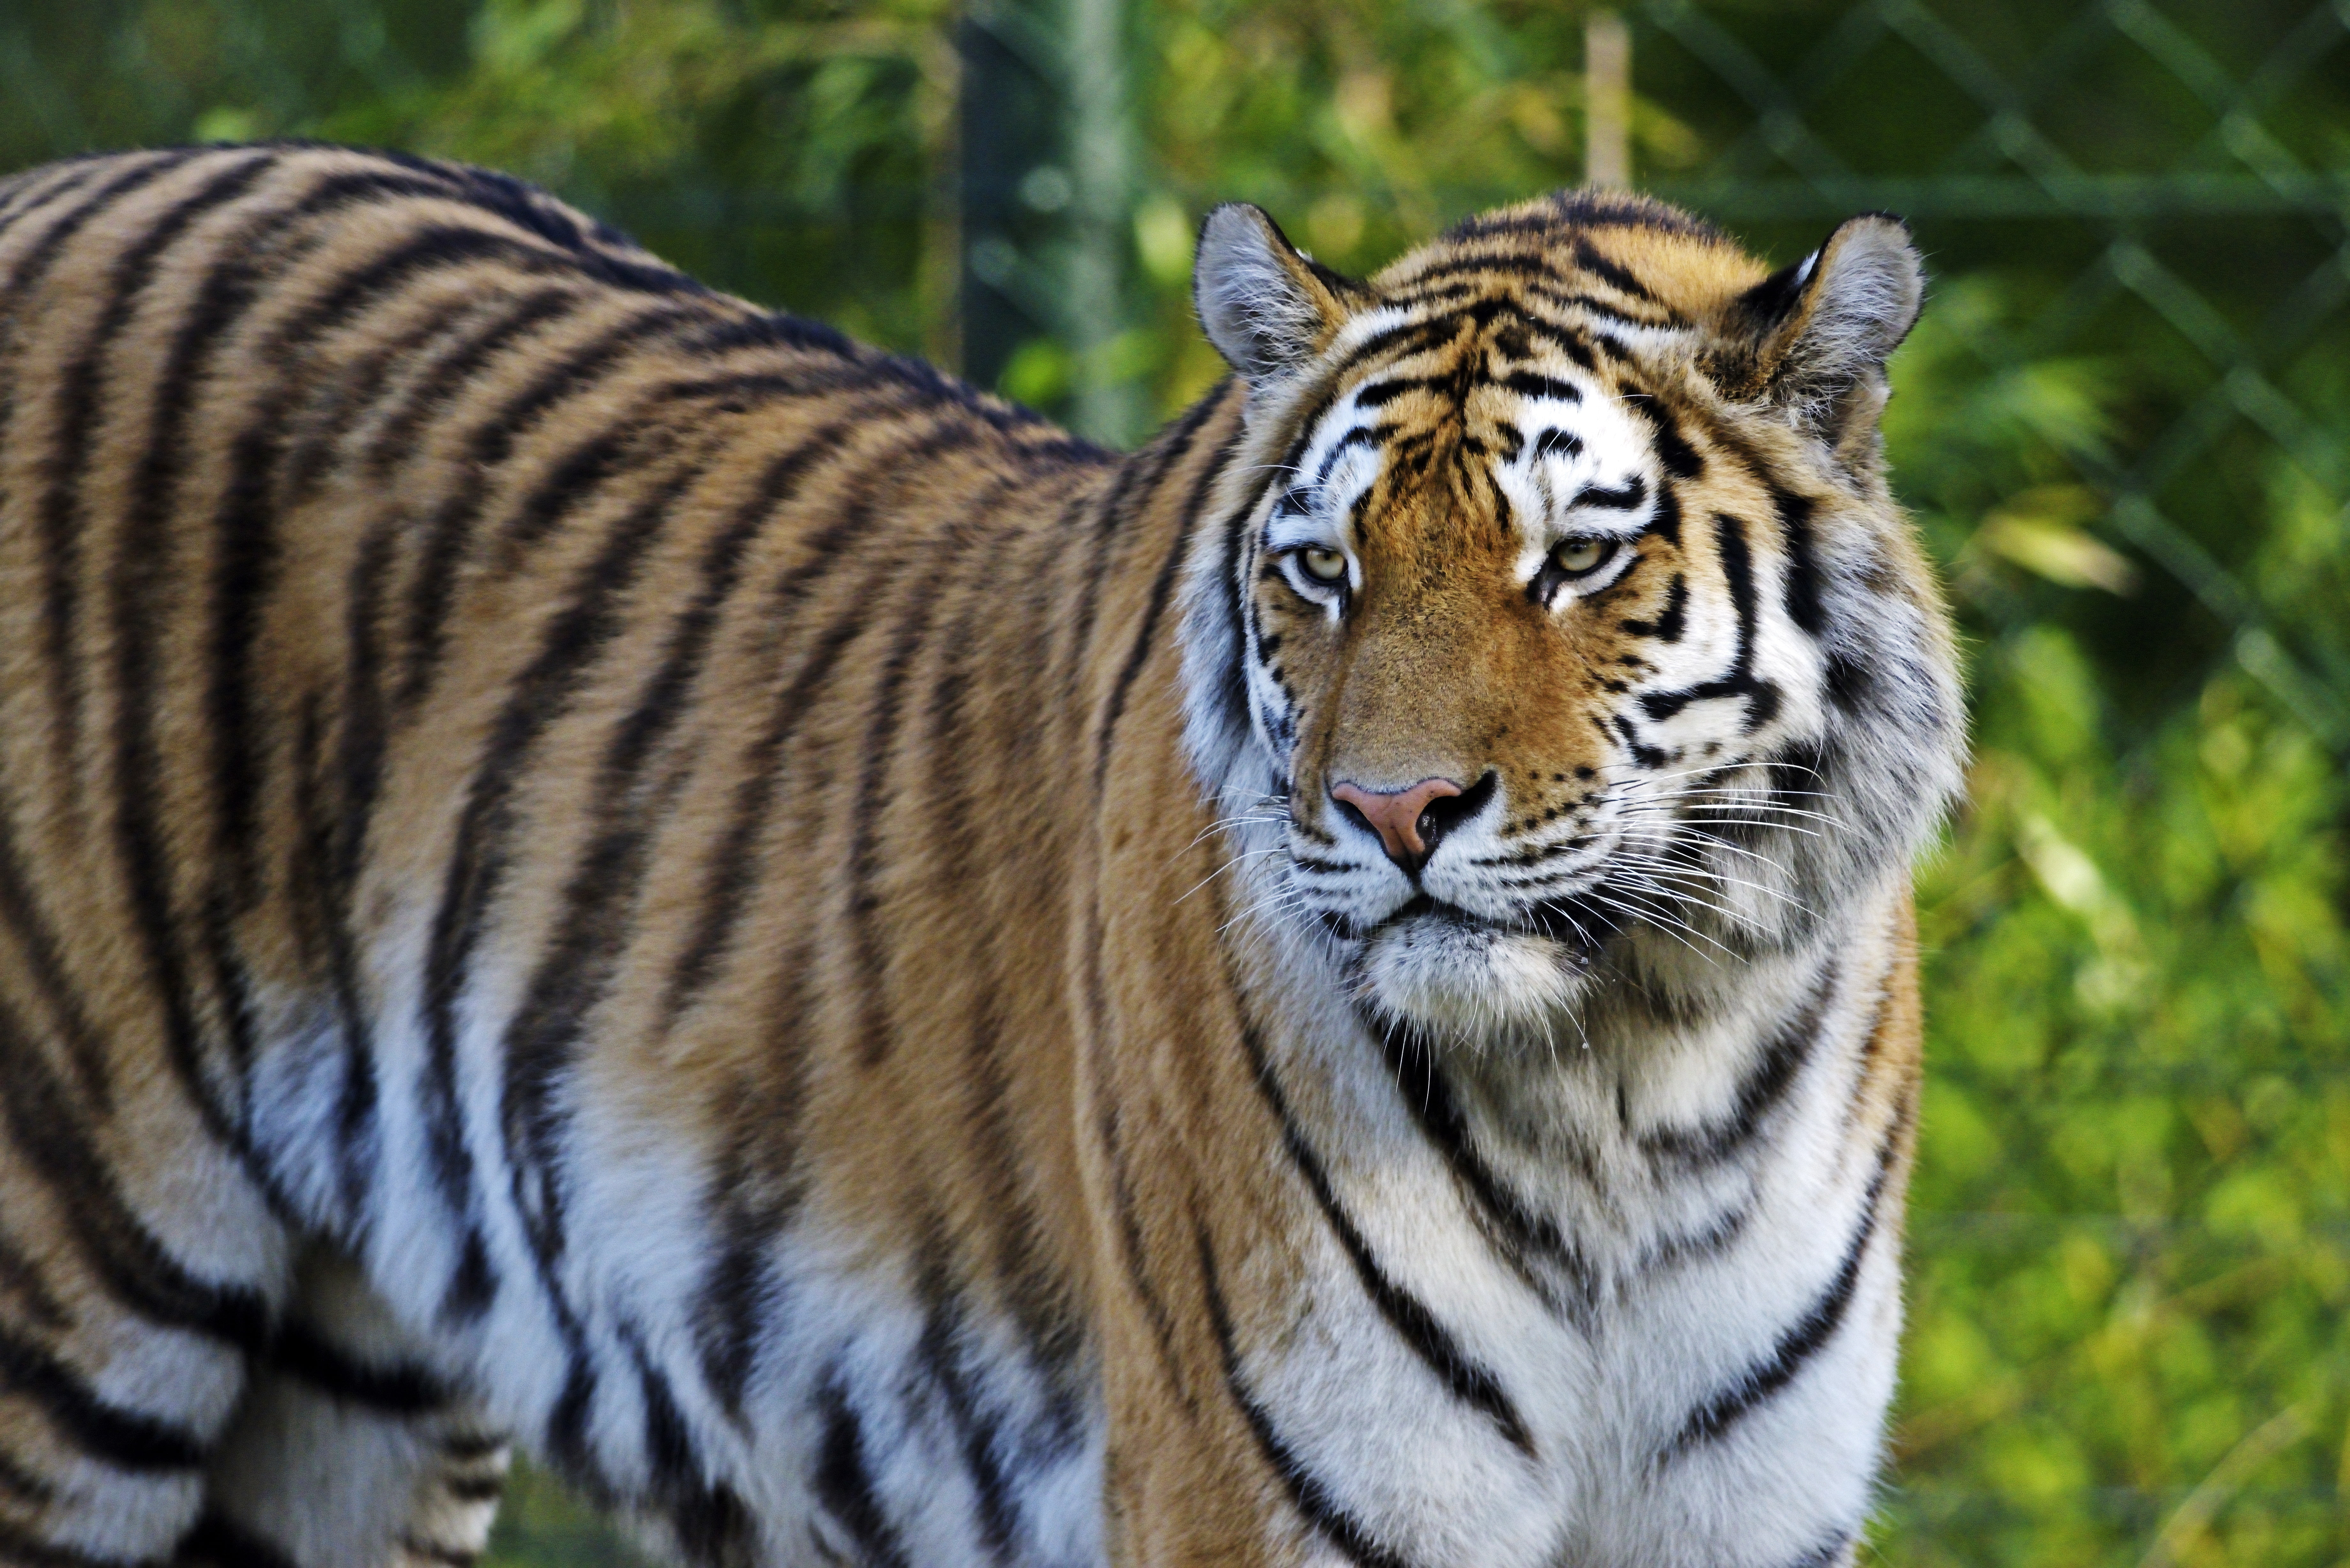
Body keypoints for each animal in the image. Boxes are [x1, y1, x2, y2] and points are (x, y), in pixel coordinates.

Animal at [0, 142, 1962, 1568]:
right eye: (1318, 569)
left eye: (1575, 559)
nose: (1390, 813)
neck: (1637, 1068)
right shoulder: (1262, 1496)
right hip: (68, 1304)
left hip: (350, 1385)